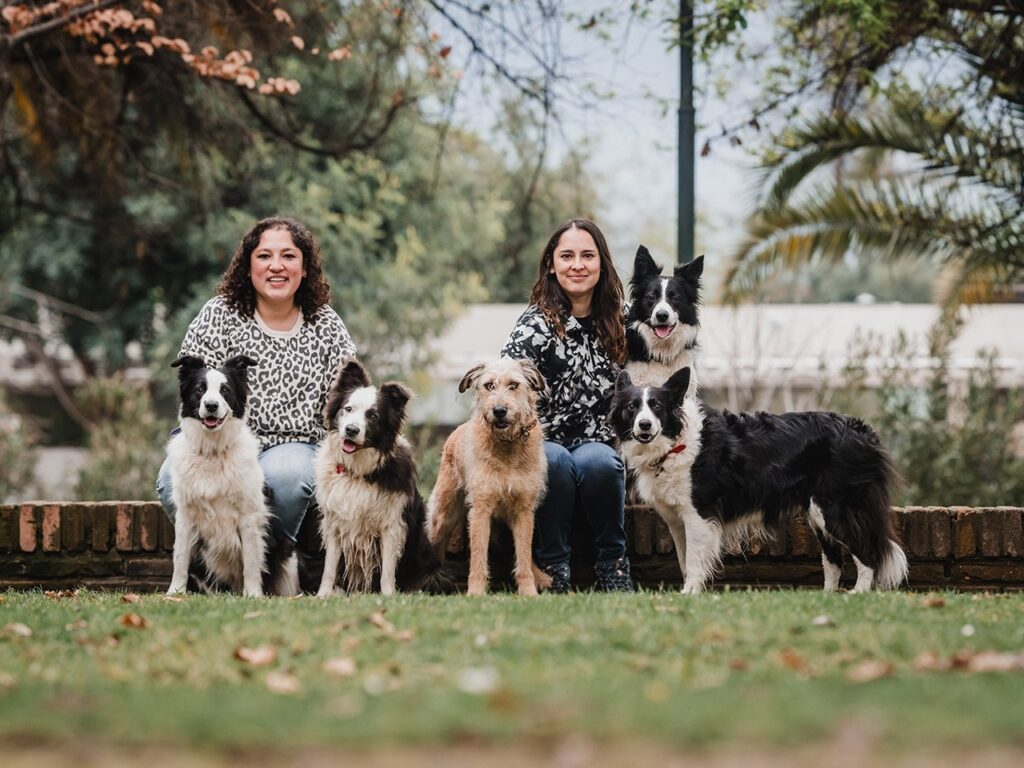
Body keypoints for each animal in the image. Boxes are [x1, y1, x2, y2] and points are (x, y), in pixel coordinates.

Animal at [165, 356, 299, 602]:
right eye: (200, 389)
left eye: (225, 390)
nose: (211, 405)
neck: (213, 452)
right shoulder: (185, 516)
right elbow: (180, 559)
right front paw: (175, 593)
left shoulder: (249, 516)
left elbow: (252, 562)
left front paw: (253, 594)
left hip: (287, 552)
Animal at [313, 358, 450, 598]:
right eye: (348, 409)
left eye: (372, 416)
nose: (351, 430)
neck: (358, 471)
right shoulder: (335, 523)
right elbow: (329, 567)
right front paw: (322, 596)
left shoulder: (392, 525)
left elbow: (387, 568)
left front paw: (388, 596)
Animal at [423, 358, 552, 598]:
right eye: (489, 385)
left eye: (513, 385)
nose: (499, 410)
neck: (507, 446)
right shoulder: (481, 510)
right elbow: (478, 557)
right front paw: (475, 592)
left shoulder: (524, 511)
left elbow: (523, 555)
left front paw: (528, 591)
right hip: (444, 515)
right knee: (435, 544)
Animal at [602, 366, 909, 593]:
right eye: (631, 407)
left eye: (656, 406)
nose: (644, 425)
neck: (675, 443)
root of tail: (863, 430)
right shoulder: (677, 520)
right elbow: (684, 559)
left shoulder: (699, 515)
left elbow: (695, 560)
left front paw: (690, 594)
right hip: (817, 513)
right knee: (833, 560)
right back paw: (827, 597)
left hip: (835, 508)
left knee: (868, 553)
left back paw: (858, 594)